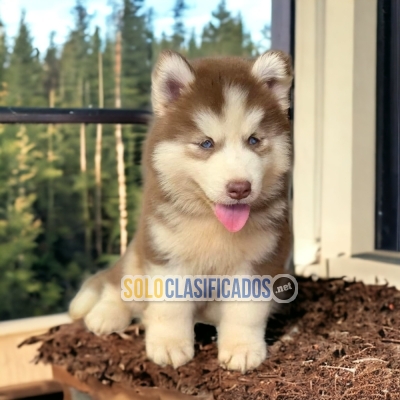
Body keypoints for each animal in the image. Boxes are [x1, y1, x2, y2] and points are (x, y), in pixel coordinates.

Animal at [69, 49, 292, 372]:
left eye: (254, 140)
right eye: (206, 143)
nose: (240, 188)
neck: (213, 226)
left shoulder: (262, 261)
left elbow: (245, 311)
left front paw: (241, 348)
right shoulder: (165, 254)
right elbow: (170, 307)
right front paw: (169, 344)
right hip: (139, 253)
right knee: (117, 280)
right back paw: (107, 313)